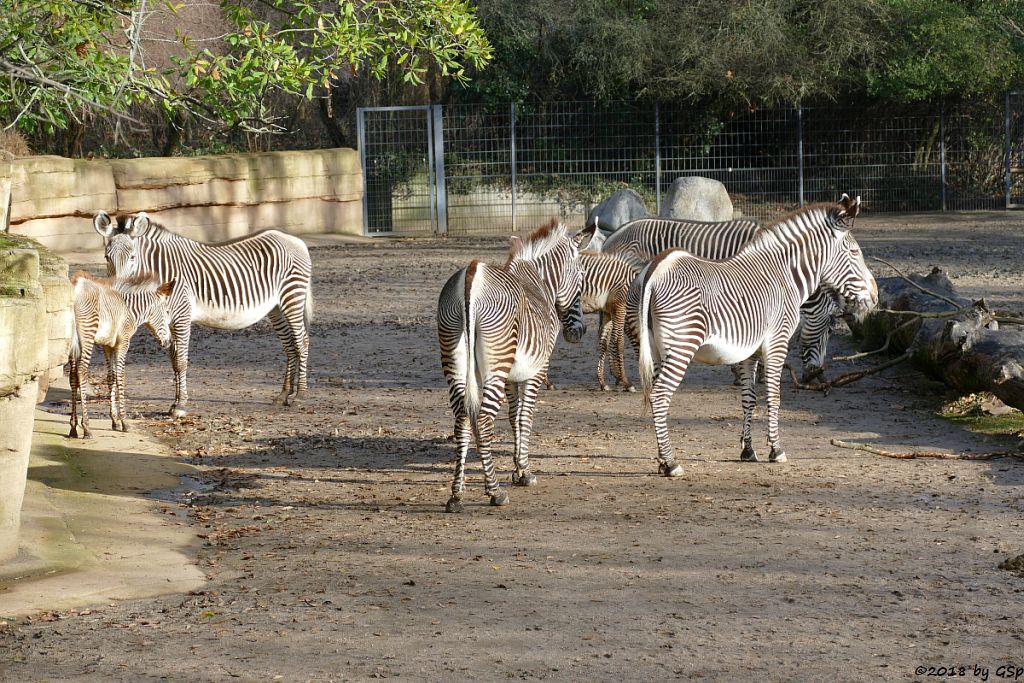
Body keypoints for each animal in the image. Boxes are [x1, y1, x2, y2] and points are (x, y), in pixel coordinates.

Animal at [69, 270, 175, 438]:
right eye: (167, 312)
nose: (169, 341)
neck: (130, 309)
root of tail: (76, 286)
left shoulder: (108, 345)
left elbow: (111, 377)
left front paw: (115, 420)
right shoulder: (124, 342)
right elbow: (120, 377)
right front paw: (124, 421)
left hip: (72, 341)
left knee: (73, 376)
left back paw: (73, 427)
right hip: (87, 336)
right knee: (81, 372)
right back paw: (86, 427)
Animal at [95, 210, 311, 417]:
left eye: (132, 257)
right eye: (107, 257)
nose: (119, 291)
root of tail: (293, 239)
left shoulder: (182, 315)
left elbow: (181, 362)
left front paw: (181, 406)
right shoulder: (169, 320)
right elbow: (174, 362)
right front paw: (174, 404)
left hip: (292, 296)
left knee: (302, 341)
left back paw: (300, 395)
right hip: (276, 307)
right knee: (289, 345)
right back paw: (283, 394)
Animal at [436, 220, 598, 511]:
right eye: (581, 278)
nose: (578, 332)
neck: (540, 283)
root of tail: (471, 276)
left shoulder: (511, 376)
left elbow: (513, 417)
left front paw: (517, 468)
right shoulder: (537, 370)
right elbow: (525, 416)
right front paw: (524, 472)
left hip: (455, 360)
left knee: (462, 420)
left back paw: (456, 495)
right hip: (495, 367)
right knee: (484, 421)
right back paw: (494, 492)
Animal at [630, 194, 880, 479]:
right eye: (855, 253)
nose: (876, 297)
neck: (785, 276)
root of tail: (655, 268)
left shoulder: (750, 351)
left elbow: (749, 398)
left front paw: (748, 450)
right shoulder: (777, 342)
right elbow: (773, 395)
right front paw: (776, 449)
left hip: (654, 349)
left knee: (655, 394)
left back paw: (662, 460)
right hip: (681, 346)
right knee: (660, 396)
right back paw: (671, 463)